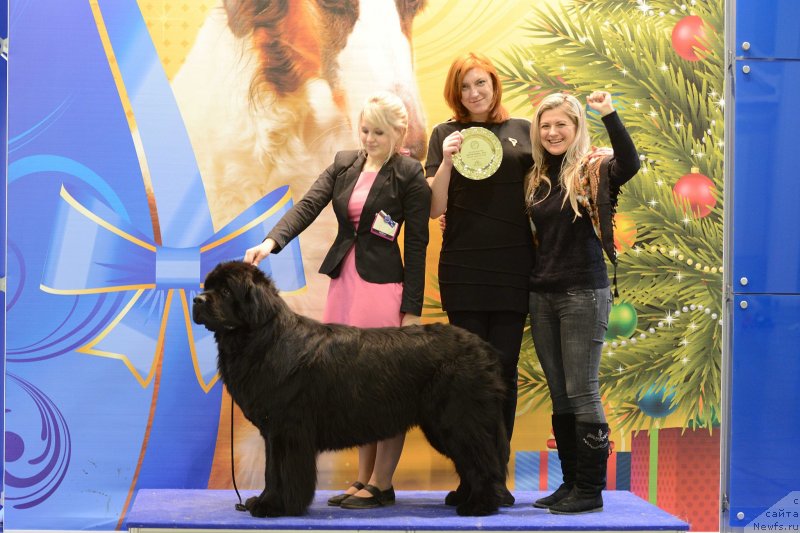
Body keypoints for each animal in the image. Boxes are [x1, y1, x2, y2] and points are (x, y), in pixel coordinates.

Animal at [191, 260, 510, 516]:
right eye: (208, 286)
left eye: (226, 291)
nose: (197, 299)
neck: (264, 338)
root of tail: (484, 348)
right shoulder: (273, 432)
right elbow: (272, 472)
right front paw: (264, 501)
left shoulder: (288, 429)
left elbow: (282, 471)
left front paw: (275, 507)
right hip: (444, 425)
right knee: (472, 460)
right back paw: (462, 497)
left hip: (458, 419)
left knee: (482, 460)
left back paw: (479, 505)